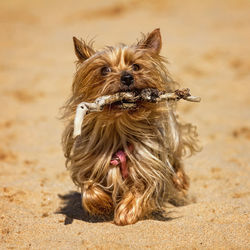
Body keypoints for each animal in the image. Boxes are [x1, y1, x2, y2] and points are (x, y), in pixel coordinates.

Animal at [61, 28, 200, 226]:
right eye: (104, 70)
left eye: (136, 66)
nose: (127, 77)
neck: (119, 127)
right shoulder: (88, 162)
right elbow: (89, 187)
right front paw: (102, 204)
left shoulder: (147, 163)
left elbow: (143, 187)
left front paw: (126, 212)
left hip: (172, 135)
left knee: (175, 155)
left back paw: (180, 180)